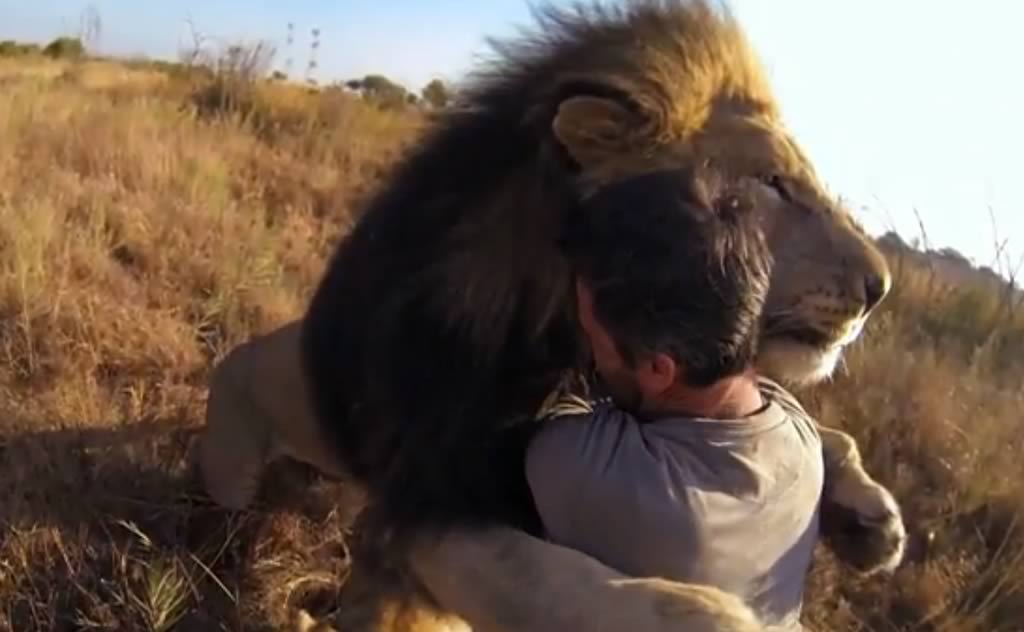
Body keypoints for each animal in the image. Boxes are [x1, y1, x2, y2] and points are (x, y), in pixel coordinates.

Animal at [197, 2, 905, 626]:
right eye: (774, 185)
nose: (880, 288)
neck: (561, 338)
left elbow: (814, 424)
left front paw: (870, 516)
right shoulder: (424, 495)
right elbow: (554, 579)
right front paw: (715, 617)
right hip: (230, 471)